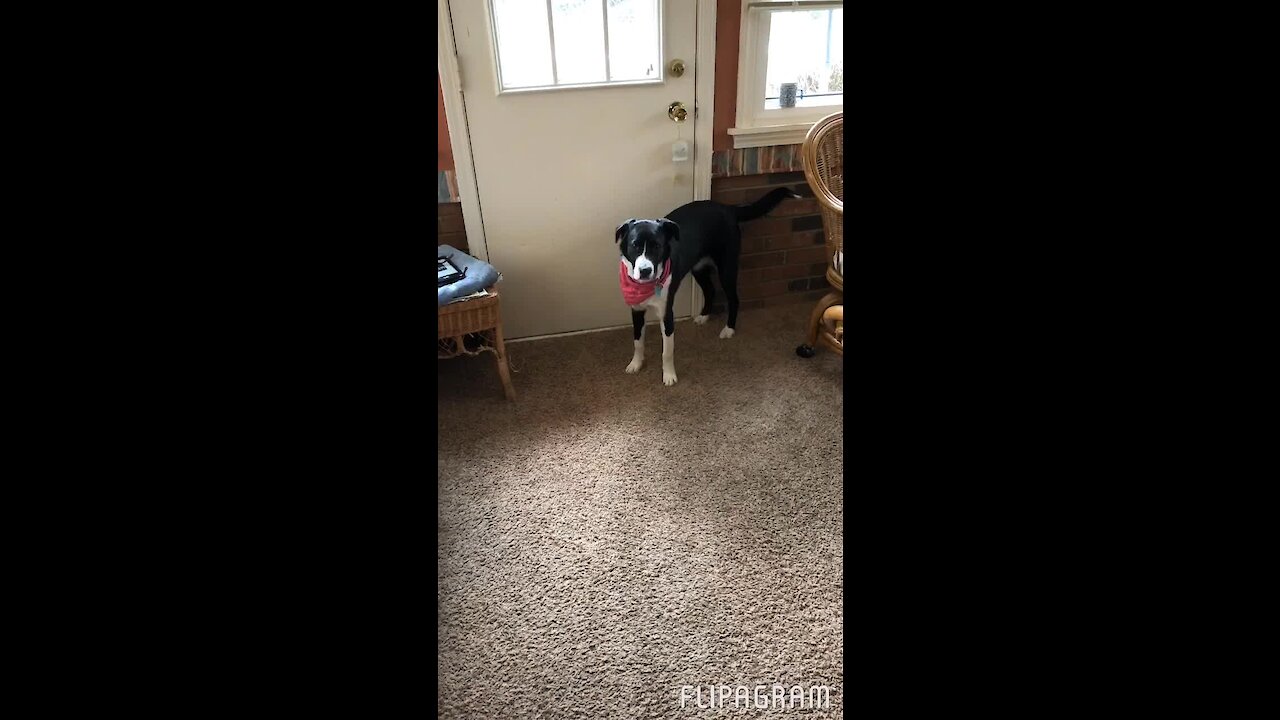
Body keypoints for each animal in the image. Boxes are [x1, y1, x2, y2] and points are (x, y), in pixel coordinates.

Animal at [611, 188, 798, 384]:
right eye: (635, 246)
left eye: (657, 246)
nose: (645, 270)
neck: (646, 285)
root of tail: (728, 208)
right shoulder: (636, 310)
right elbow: (637, 341)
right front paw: (636, 364)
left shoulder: (667, 313)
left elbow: (667, 351)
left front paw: (669, 375)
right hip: (699, 268)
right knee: (710, 290)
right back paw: (703, 316)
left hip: (727, 268)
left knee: (733, 299)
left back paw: (729, 329)